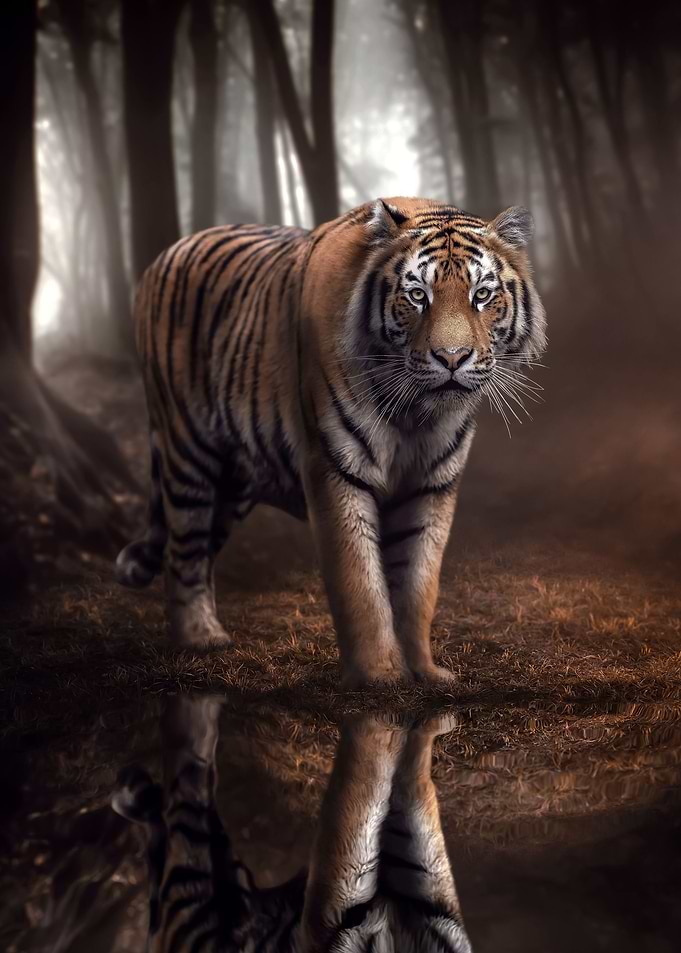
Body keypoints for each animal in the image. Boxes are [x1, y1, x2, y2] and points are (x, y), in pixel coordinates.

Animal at [115, 197, 546, 688]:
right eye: (418, 295)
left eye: (482, 295)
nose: (451, 358)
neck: (416, 415)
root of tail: (166, 253)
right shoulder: (336, 470)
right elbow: (360, 581)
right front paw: (380, 675)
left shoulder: (433, 485)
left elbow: (419, 583)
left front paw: (424, 671)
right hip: (189, 450)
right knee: (182, 551)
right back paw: (199, 638)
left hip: (235, 480)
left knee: (203, 550)